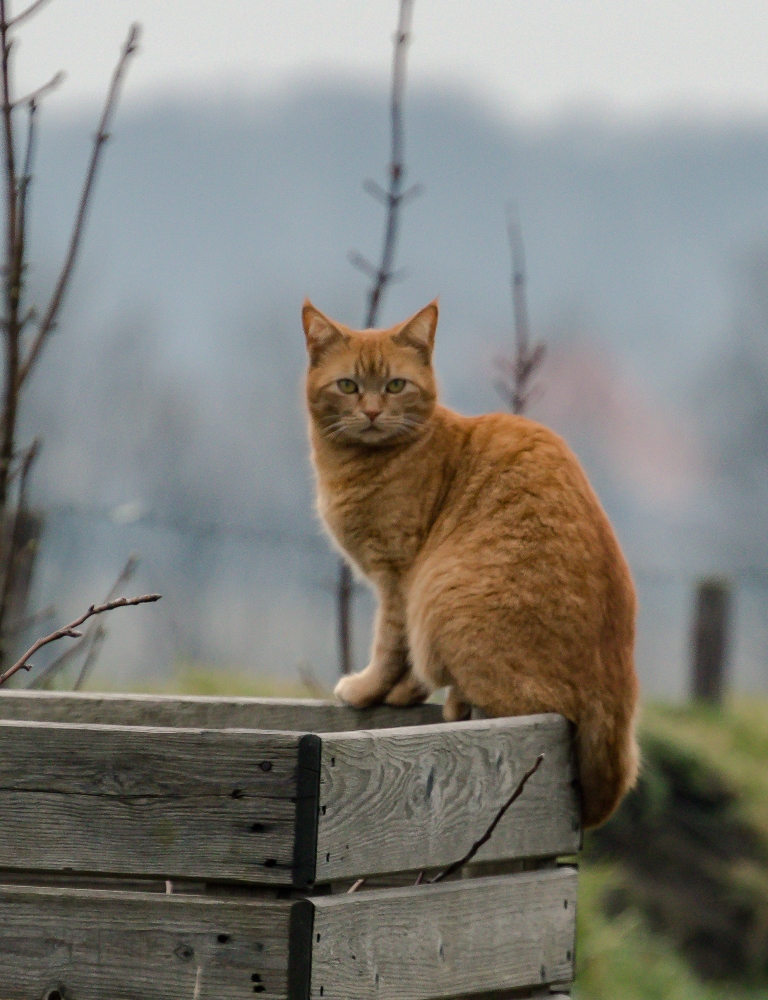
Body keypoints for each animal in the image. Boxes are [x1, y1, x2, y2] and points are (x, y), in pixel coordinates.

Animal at [304, 296, 640, 828]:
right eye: (348, 386)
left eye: (395, 385)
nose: (373, 412)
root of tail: (618, 687)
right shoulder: (403, 585)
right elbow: (409, 661)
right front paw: (403, 694)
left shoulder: (402, 578)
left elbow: (390, 646)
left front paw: (368, 689)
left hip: (445, 597)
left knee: (522, 709)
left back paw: (460, 703)